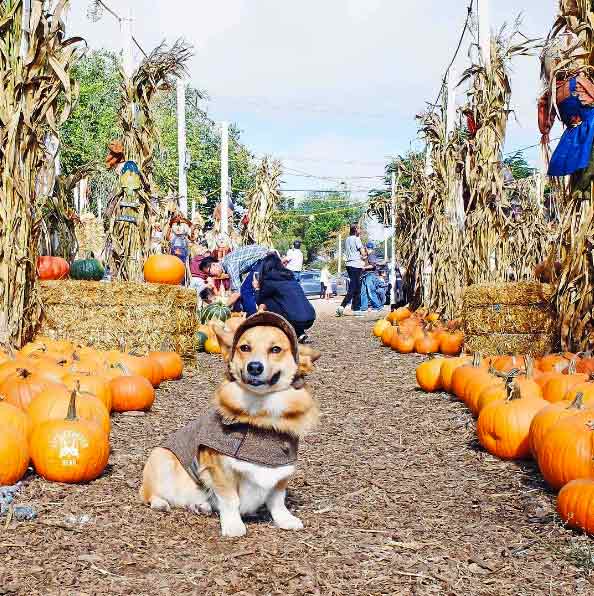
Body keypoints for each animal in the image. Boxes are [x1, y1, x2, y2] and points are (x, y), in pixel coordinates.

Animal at [140, 314, 320, 536]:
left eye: (276, 349)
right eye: (245, 347)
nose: (254, 367)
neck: (260, 418)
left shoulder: (281, 470)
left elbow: (277, 500)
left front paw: (285, 520)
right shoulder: (220, 470)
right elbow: (230, 500)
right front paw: (234, 526)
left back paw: (201, 506)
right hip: (161, 458)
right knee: (149, 494)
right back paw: (161, 503)